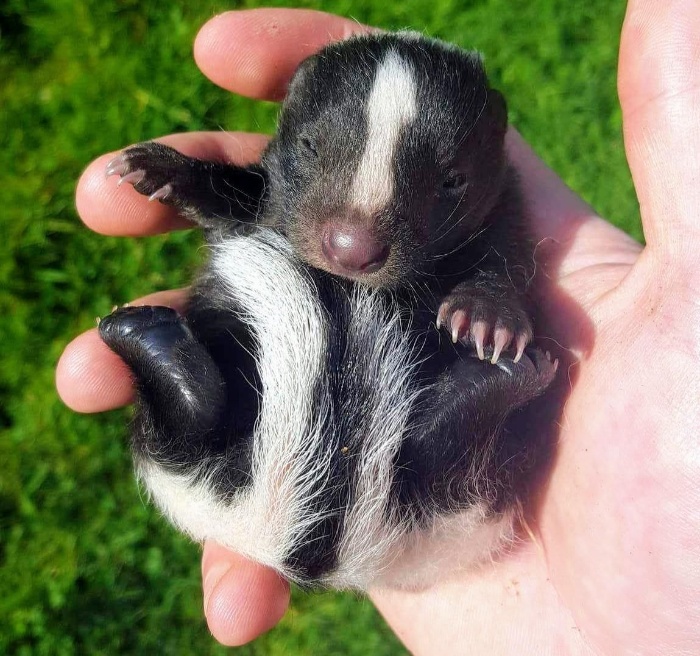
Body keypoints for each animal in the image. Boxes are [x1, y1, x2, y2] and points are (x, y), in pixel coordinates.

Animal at [100, 32, 556, 588]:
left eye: (452, 180)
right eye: (310, 146)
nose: (351, 248)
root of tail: (305, 549)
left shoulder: (505, 208)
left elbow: (507, 259)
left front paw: (487, 319)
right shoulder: (257, 200)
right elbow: (233, 193)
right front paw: (161, 168)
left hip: (476, 495)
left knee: (439, 450)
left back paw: (506, 376)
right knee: (183, 429)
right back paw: (149, 338)